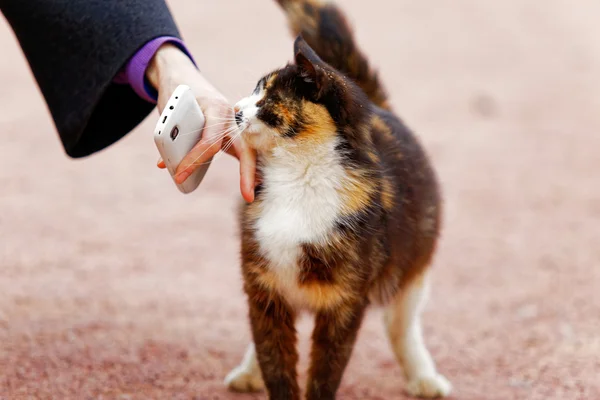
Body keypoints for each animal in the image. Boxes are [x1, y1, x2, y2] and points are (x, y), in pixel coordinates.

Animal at [224, 1, 450, 398]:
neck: (298, 180)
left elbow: (326, 370)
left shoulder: (344, 303)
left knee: (401, 326)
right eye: (252, 94)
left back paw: (424, 377)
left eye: (266, 99)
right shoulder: (265, 288)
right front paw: (267, 375)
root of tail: (377, 106)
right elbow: (274, 359)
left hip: (414, 264)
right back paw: (248, 372)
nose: (235, 109)